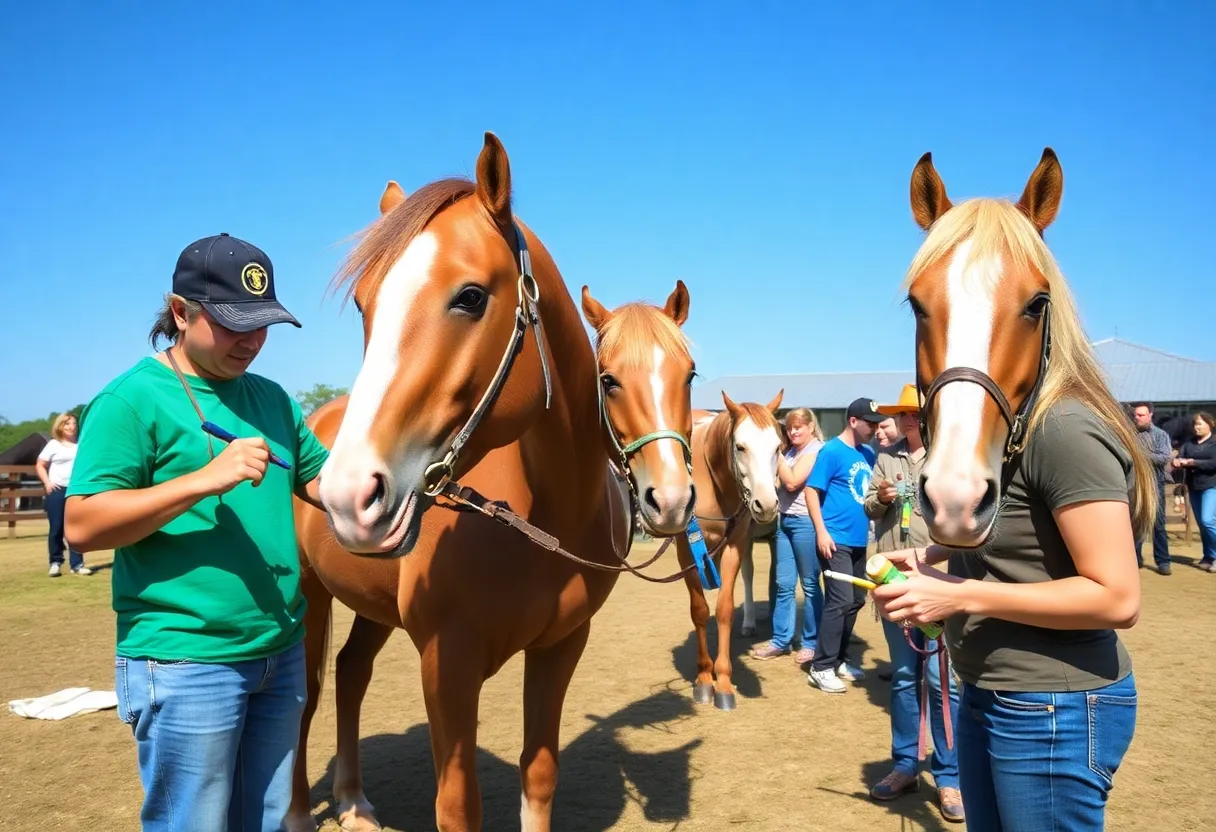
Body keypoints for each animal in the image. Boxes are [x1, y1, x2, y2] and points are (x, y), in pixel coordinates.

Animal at [286, 132, 698, 832]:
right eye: (366, 305)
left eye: (472, 296)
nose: (348, 495)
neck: (540, 519)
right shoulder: (446, 662)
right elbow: (458, 804)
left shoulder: (561, 646)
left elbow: (540, 775)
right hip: (309, 597)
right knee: (305, 694)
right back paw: (295, 812)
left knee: (350, 675)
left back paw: (353, 801)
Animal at [669, 391, 784, 710]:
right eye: (740, 447)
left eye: (778, 447)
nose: (766, 505)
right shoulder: (687, 549)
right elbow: (699, 609)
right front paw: (703, 679)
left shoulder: (735, 543)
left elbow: (724, 608)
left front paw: (721, 681)